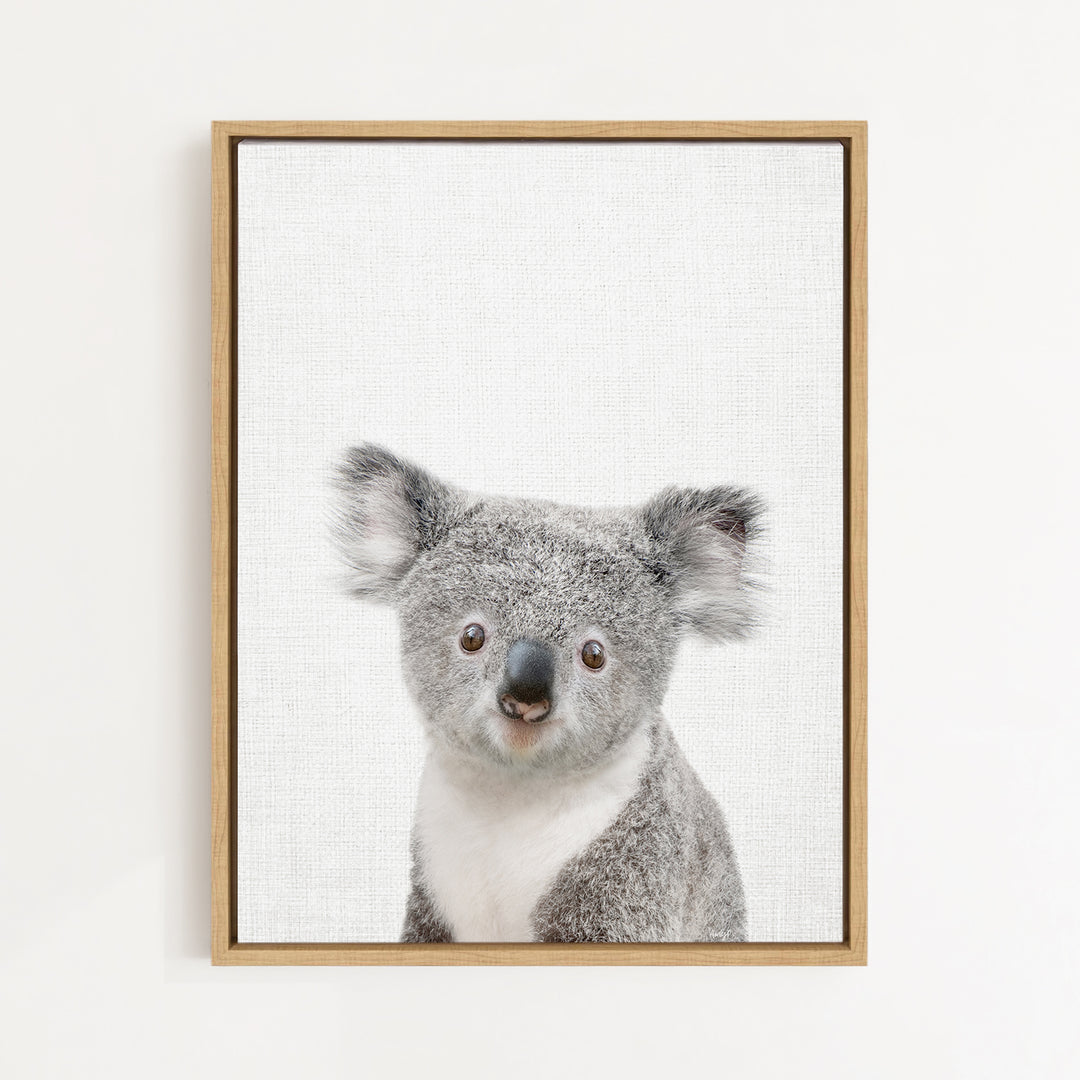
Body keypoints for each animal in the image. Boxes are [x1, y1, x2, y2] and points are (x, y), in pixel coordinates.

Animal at [333, 443, 760, 943]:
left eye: (593, 654)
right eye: (472, 637)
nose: (525, 696)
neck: (513, 791)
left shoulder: (632, 876)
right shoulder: (432, 892)